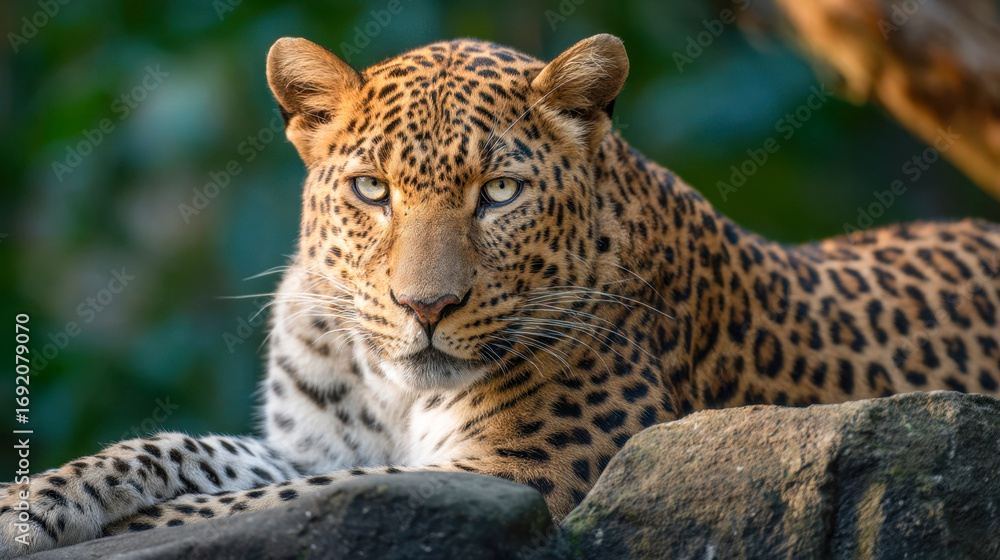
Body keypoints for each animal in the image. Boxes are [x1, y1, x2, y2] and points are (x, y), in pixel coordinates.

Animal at [3, 33, 1000, 557]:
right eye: (372, 190)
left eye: (500, 193)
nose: (426, 308)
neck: (391, 390)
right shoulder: (309, 446)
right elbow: (181, 451)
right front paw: (36, 498)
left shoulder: (526, 481)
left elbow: (251, 506)